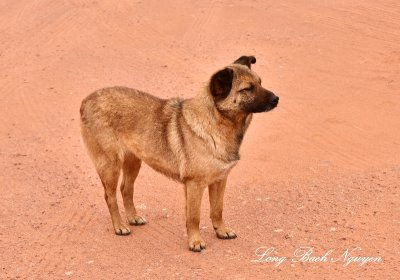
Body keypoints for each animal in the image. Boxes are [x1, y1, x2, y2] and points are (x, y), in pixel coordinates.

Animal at [79, 56, 280, 252]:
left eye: (260, 82)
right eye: (247, 89)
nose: (277, 98)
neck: (217, 124)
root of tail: (86, 100)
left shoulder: (219, 181)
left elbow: (217, 209)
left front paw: (221, 230)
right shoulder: (194, 185)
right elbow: (194, 217)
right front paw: (195, 241)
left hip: (133, 161)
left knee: (125, 189)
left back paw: (133, 217)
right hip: (110, 165)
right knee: (110, 196)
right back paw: (119, 226)